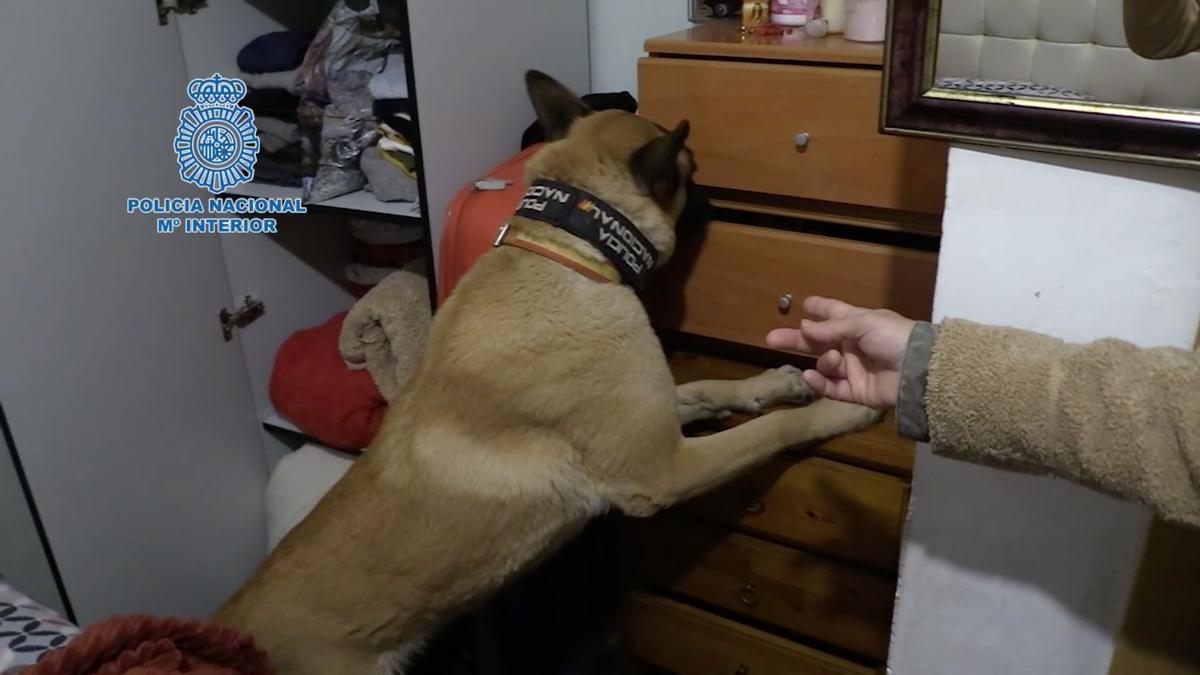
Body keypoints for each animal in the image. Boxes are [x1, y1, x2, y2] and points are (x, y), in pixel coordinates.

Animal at [208, 72, 883, 672]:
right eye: (687, 173)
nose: (717, 203)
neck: (571, 252)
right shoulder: (659, 471)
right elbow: (770, 431)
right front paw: (845, 407)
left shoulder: (653, 411)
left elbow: (713, 388)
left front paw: (778, 384)